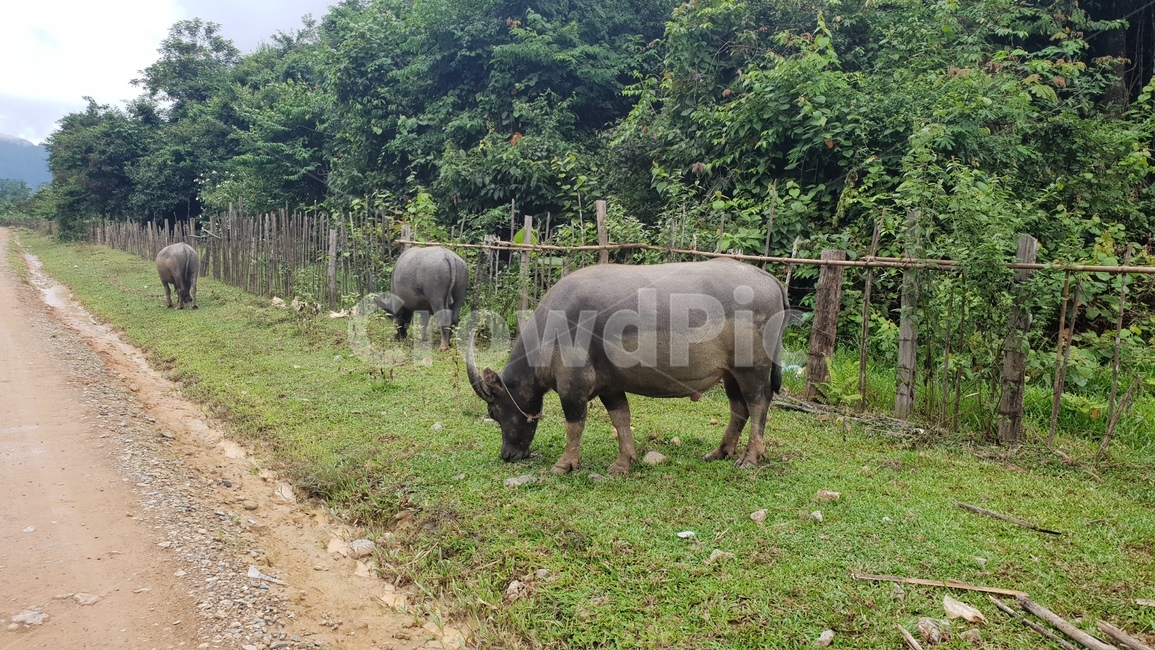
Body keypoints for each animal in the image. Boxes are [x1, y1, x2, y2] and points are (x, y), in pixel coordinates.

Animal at [466, 258, 791, 474]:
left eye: (494, 412)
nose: (508, 455)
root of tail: (768, 278)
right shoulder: (610, 387)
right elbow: (621, 419)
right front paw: (624, 462)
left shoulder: (573, 388)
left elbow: (575, 424)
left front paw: (565, 464)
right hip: (730, 373)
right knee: (739, 408)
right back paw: (720, 452)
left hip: (752, 369)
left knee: (759, 404)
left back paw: (750, 458)